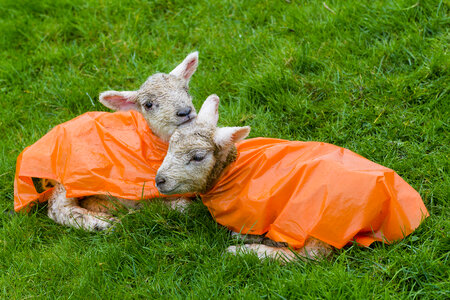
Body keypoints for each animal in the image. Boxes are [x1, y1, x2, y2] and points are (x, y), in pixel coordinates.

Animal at [13, 51, 199, 231]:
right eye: (148, 104)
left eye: (186, 89)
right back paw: (103, 223)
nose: (185, 111)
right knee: (58, 208)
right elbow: (171, 206)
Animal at [155, 95, 428, 262]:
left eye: (198, 156)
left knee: (308, 256)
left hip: (315, 215)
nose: (159, 180)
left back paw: (244, 251)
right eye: (170, 144)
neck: (232, 169)